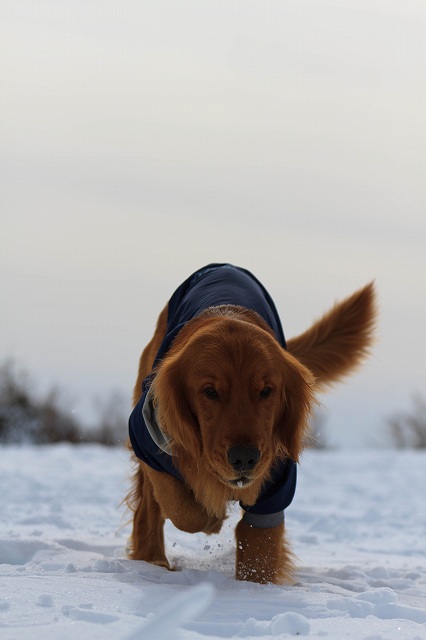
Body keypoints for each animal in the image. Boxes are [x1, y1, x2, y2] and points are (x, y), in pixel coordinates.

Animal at [125, 262, 374, 584]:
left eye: (266, 391)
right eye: (210, 392)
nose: (244, 458)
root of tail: (224, 265)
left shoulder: (276, 485)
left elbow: (259, 551)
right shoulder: (147, 438)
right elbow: (182, 507)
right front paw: (211, 516)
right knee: (149, 506)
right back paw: (152, 559)